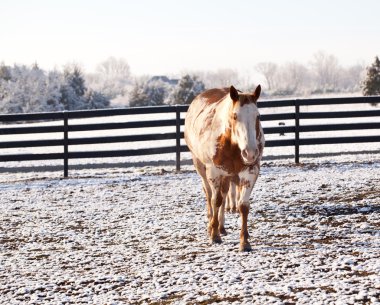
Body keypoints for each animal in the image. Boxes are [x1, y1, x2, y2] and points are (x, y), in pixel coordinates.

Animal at [184, 84, 264, 251]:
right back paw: (211, 226)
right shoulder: (214, 172)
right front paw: (214, 236)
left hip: (227, 176)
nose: (250, 153)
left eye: (258, 116)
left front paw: (244, 242)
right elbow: (216, 200)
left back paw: (221, 227)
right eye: (235, 116)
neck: (231, 143)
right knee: (210, 195)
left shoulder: (250, 171)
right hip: (201, 168)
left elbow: (243, 206)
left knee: (225, 193)